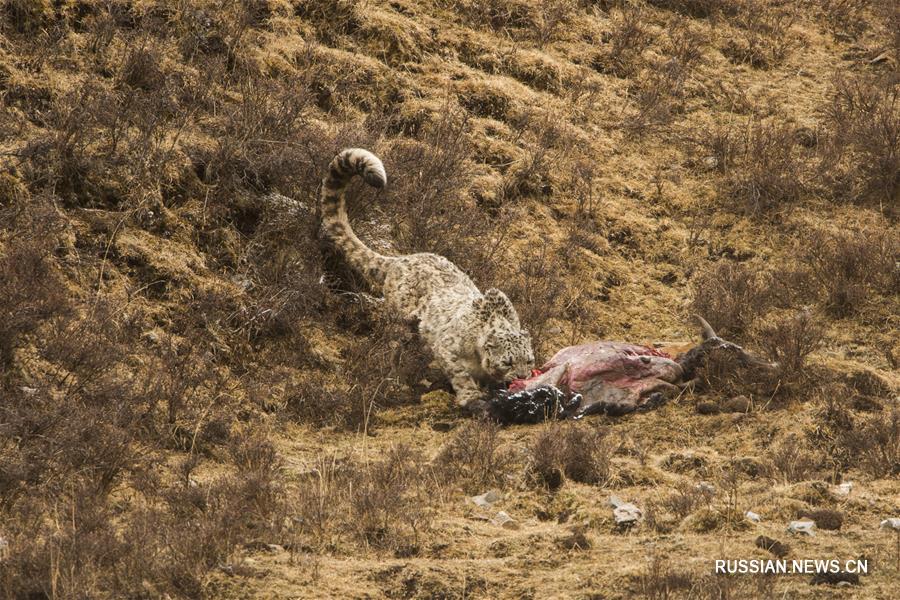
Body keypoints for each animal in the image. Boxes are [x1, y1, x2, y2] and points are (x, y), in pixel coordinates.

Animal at [318, 148, 536, 410]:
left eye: (529, 360)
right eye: (508, 362)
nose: (523, 377)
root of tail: (401, 260)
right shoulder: (448, 349)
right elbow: (460, 375)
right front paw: (472, 398)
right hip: (399, 320)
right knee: (393, 346)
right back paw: (396, 376)